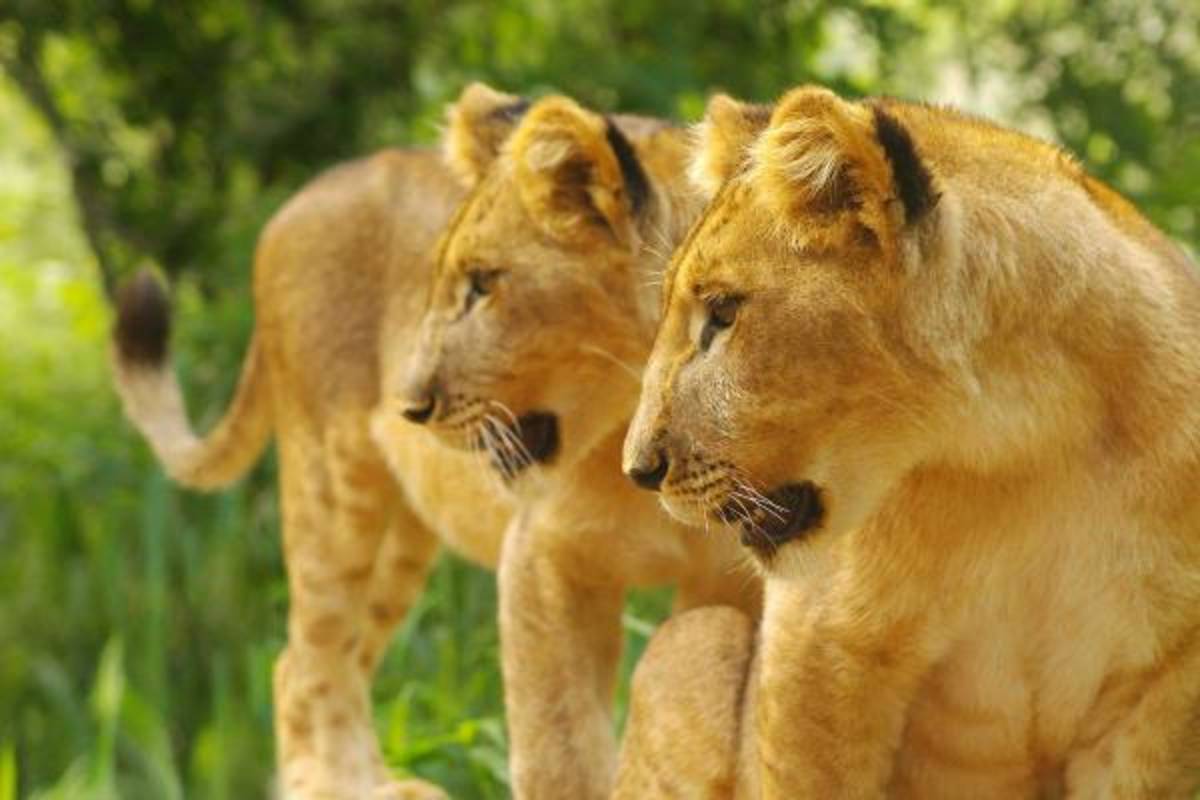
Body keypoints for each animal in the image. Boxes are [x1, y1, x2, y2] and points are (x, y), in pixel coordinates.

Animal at [112, 83, 756, 800]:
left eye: (483, 284)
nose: (410, 405)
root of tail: (298, 202)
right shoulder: (542, 561)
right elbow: (558, 751)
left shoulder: (729, 582)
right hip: (330, 488)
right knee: (309, 663)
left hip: (401, 541)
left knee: (325, 659)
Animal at [619, 87, 1200, 798]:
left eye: (723, 313)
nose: (638, 469)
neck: (1029, 450)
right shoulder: (823, 649)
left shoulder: (1160, 691)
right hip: (696, 640)